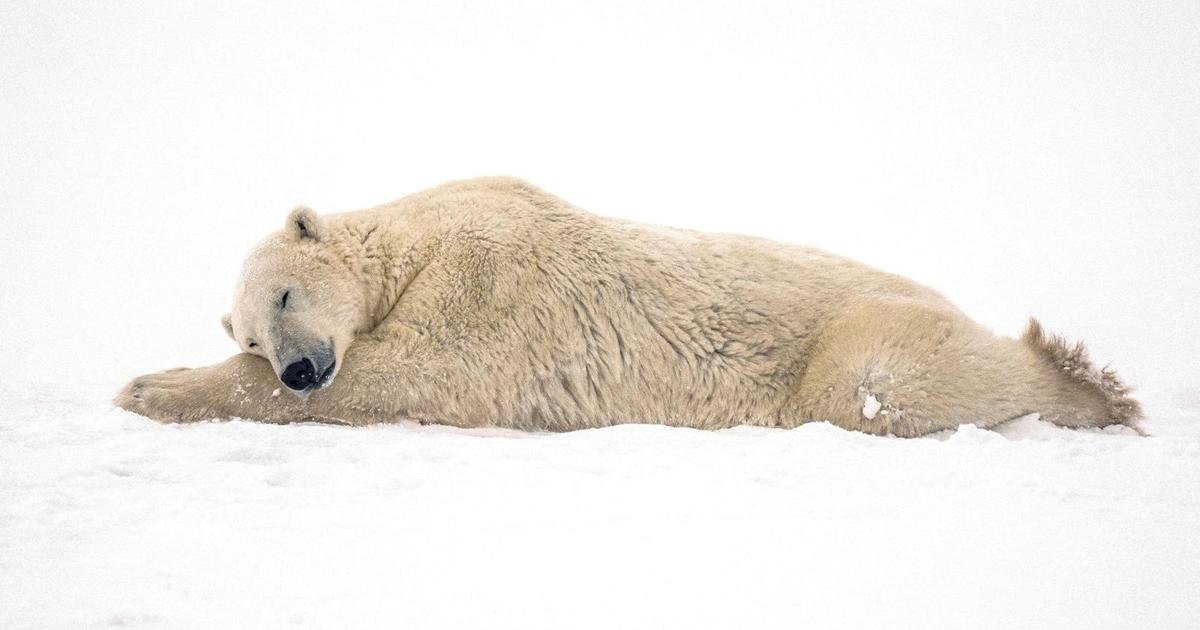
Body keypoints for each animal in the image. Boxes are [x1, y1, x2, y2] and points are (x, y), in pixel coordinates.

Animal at [115, 176, 1143, 437]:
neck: (421, 233)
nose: (297, 366)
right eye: (256, 332)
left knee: (877, 384)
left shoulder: (491, 274)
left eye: (286, 294)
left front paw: (146, 386)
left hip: (863, 329)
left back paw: (1078, 380)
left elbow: (420, 367)